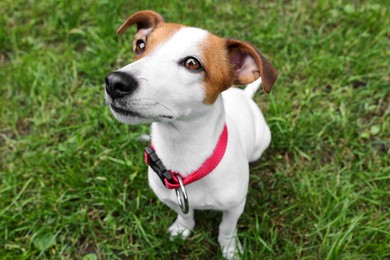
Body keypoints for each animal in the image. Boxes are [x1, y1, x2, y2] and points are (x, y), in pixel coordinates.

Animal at [103, 10, 278, 260]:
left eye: (192, 63)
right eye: (140, 45)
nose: (115, 82)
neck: (182, 151)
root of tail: (245, 96)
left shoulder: (235, 206)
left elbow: (227, 227)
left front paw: (230, 248)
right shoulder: (172, 198)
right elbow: (185, 215)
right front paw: (182, 229)